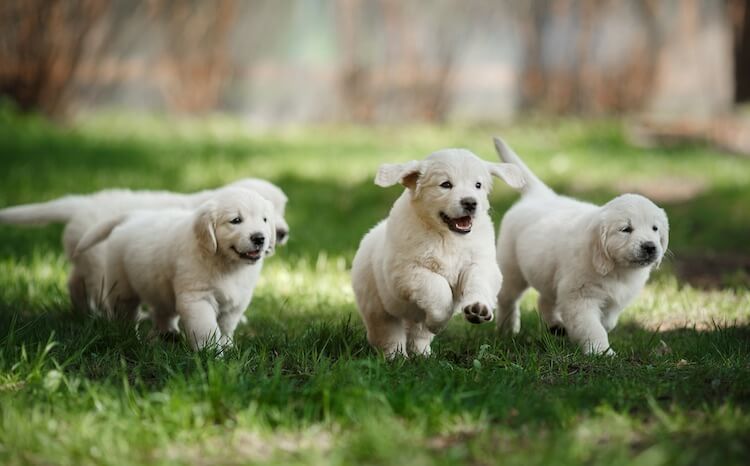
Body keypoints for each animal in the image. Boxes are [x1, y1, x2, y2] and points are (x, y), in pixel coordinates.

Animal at [73, 187, 276, 352]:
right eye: (236, 220)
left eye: (265, 220)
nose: (260, 238)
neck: (226, 263)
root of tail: (133, 217)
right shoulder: (197, 298)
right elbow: (207, 328)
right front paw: (211, 354)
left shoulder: (236, 302)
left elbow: (226, 327)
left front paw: (228, 347)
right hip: (122, 286)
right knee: (126, 312)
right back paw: (130, 336)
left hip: (160, 287)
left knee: (163, 312)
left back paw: (168, 335)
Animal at [352, 149, 524, 356]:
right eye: (445, 185)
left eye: (478, 185)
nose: (470, 202)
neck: (447, 236)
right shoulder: (405, 272)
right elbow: (437, 287)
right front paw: (439, 322)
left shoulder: (480, 263)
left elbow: (478, 281)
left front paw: (478, 308)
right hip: (377, 305)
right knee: (388, 333)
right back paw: (397, 356)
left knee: (418, 334)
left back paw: (423, 354)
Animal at [494, 137, 668, 354]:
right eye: (626, 229)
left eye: (655, 228)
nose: (650, 247)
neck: (616, 269)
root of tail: (540, 196)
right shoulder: (580, 297)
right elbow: (592, 327)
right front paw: (601, 352)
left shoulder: (614, 300)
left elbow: (607, 321)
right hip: (511, 269)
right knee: (507, 299)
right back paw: (507, 329)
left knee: (544, 300)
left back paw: (555, 326)